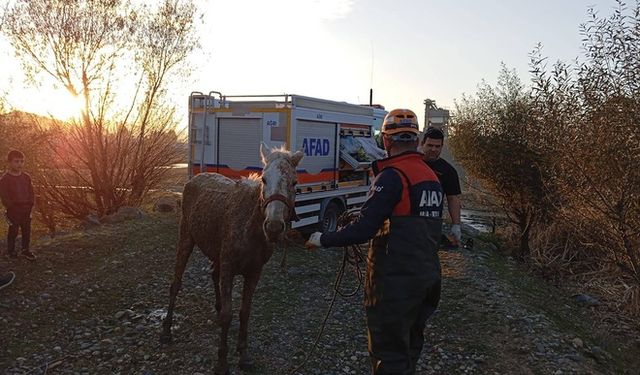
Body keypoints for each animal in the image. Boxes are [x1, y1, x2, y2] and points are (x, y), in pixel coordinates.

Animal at [159, 145, 302, 374]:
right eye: (264, 179)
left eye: (294, 182)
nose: (273, 227)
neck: (250, 228)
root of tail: (194, 178)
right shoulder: (228, 267)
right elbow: (228, 314)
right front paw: (222, 362)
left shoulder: (254, 272)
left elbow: (245, 312)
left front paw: (243, 355)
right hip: (186, 238)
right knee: (176, 283)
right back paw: (166, 330)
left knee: (212, 274)